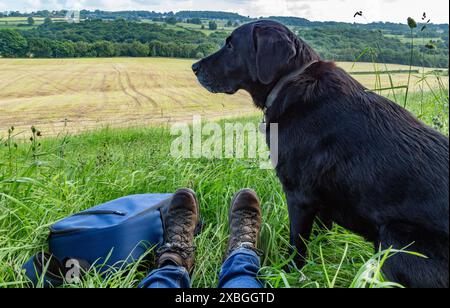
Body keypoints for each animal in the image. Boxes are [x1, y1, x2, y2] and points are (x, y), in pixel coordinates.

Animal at [192, 20, 448, 288]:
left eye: (231, 45)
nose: (194, 67)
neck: (289, 81)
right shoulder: (324, 199)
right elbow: (322, 233)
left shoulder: (299, 196)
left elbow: (297, 244)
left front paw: (290, 271)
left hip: (395, 239)